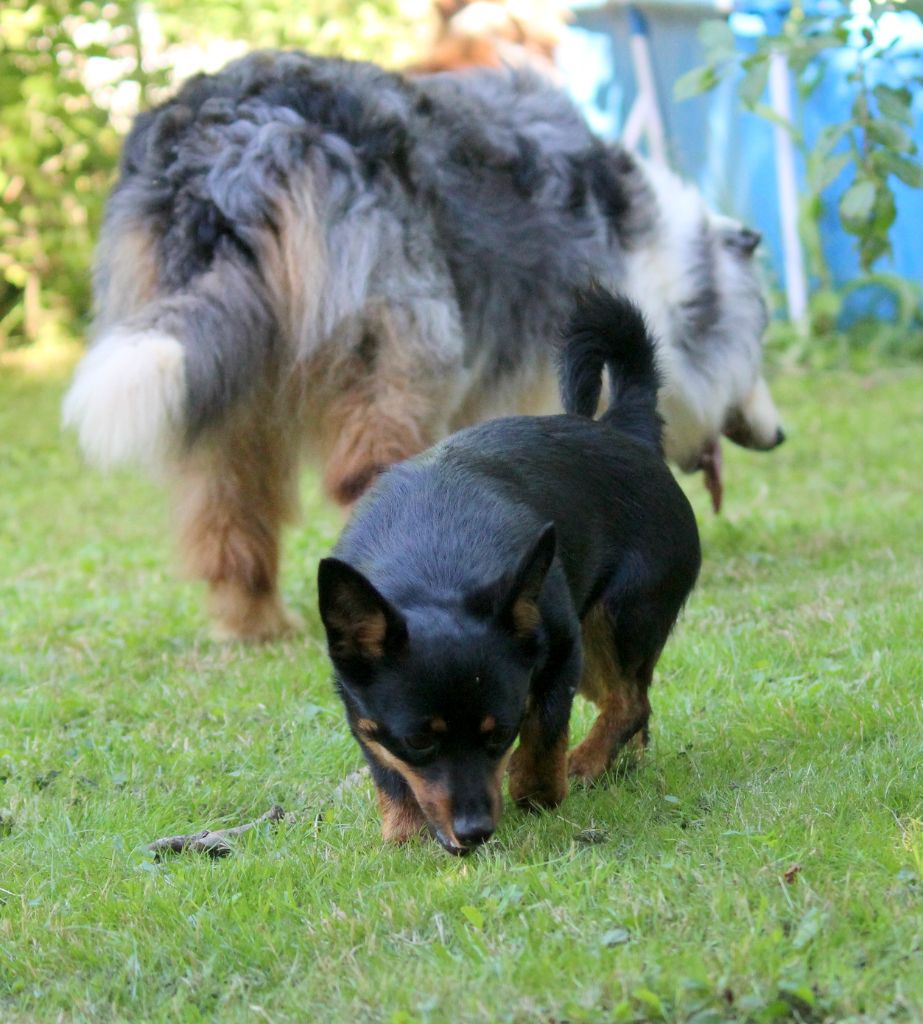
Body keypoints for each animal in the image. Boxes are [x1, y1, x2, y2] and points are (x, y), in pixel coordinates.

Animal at [63, 51, 786, 638]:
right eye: (756, 347)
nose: (778, 436)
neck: (660, 255)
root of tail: (220, 147)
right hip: (398, 336)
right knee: (363, 471)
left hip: (219, 381)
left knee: (225, 510)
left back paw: (255, 624)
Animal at [317, 284, 700, 851]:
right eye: (418, 741)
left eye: (499, 733)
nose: (474, 832)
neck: (435, 567)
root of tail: (622, 428)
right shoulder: (358, 701)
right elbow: (385, 764)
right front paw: (405, 827)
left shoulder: (560, 649)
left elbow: (544, 727)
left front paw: (537, 789)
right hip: (595, 653)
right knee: (632, 706)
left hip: (614, 622)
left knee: (630, 702)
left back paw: (585, 762)